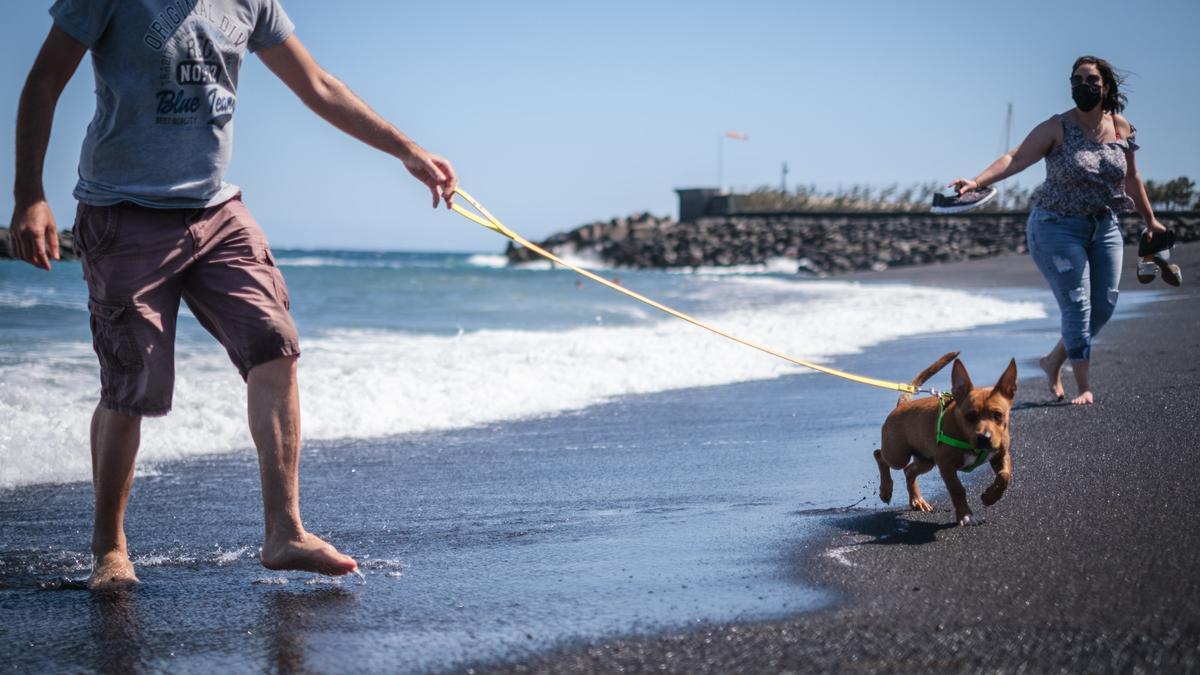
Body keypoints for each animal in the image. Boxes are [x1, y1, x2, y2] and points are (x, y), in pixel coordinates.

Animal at [878, 353, 1017, 526]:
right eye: (969, 416)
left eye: (998, 415)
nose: (984, 438)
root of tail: (902, 405)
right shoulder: (946, 466)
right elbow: (957, 489)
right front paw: (966, 515)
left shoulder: (1001, 455)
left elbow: (1004, 476)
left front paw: (991, 497)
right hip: (897, 455)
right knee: (880, 455)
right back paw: (886, 490)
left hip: (926, 461)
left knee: (909, 470)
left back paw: (917, 500)